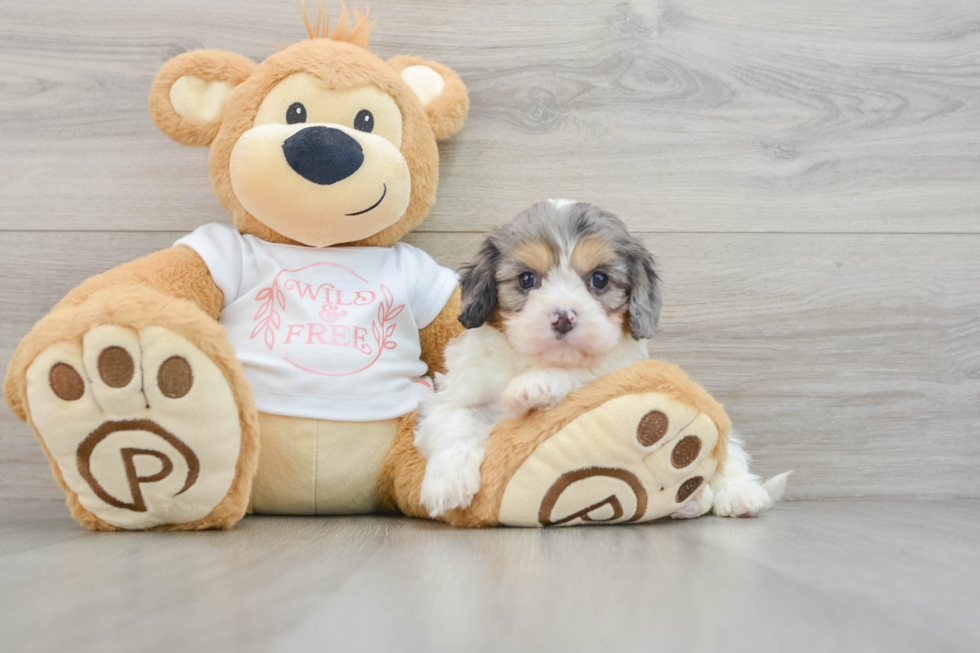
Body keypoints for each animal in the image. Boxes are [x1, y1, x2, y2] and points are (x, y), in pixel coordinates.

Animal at [414, 200, 788, 520]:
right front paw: (446, 485)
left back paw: (737, 495)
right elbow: (456, 422)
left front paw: (536, 385)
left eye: (599, 279)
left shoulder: (616, 373)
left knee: (729, 456)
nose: (563, 317)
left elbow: (582, 376)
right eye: (526, 279)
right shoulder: (459, 393)